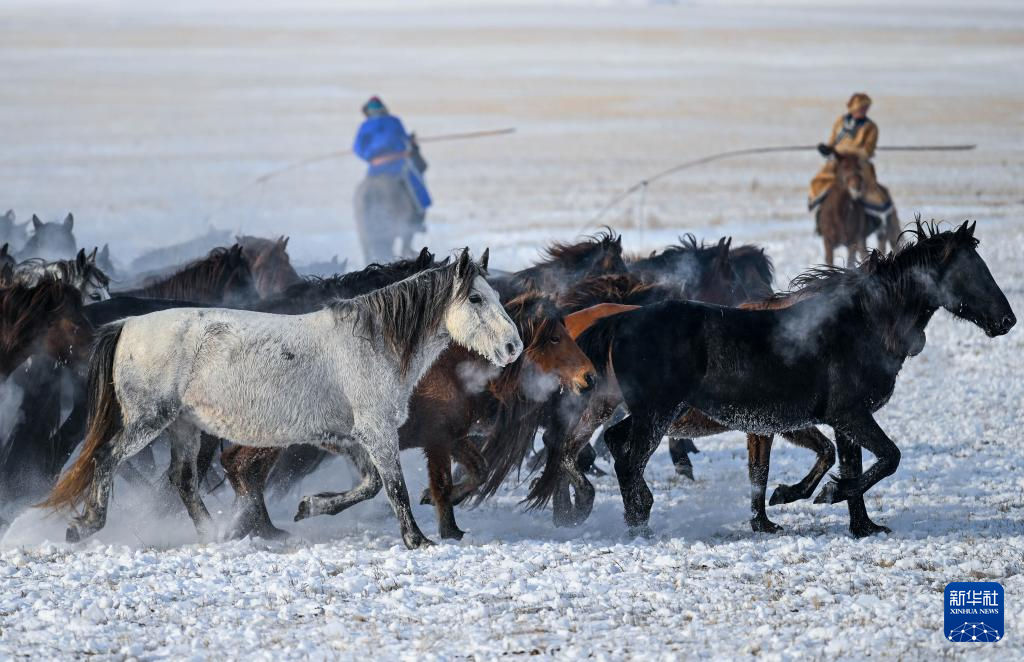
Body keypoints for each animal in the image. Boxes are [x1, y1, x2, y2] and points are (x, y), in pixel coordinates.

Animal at [40, 249, 524, 549]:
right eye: (476, 298)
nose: (513, 347)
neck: (372, 343)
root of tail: (125, 326)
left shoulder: (344, 438)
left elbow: (368, 486)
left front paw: (311, 507)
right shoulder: (377, 432)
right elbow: (394, 488)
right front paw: (417, 540)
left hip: (184, 427)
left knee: (183, 480)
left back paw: (214, 534)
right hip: (147, 421)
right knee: (105, 459)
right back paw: (86, 526)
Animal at [589, 223, 1011, 541]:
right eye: (968, 270)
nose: (1007, 320)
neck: (862, 325)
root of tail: (621, 320)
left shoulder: (839, 422)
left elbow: (849, 464)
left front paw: (861, 526)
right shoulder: (848, 415)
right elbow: (887, 458)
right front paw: (827, 494)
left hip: (653, 414)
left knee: (617, 445)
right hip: (657, 415)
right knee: (629, 461)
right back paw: (639, 525)